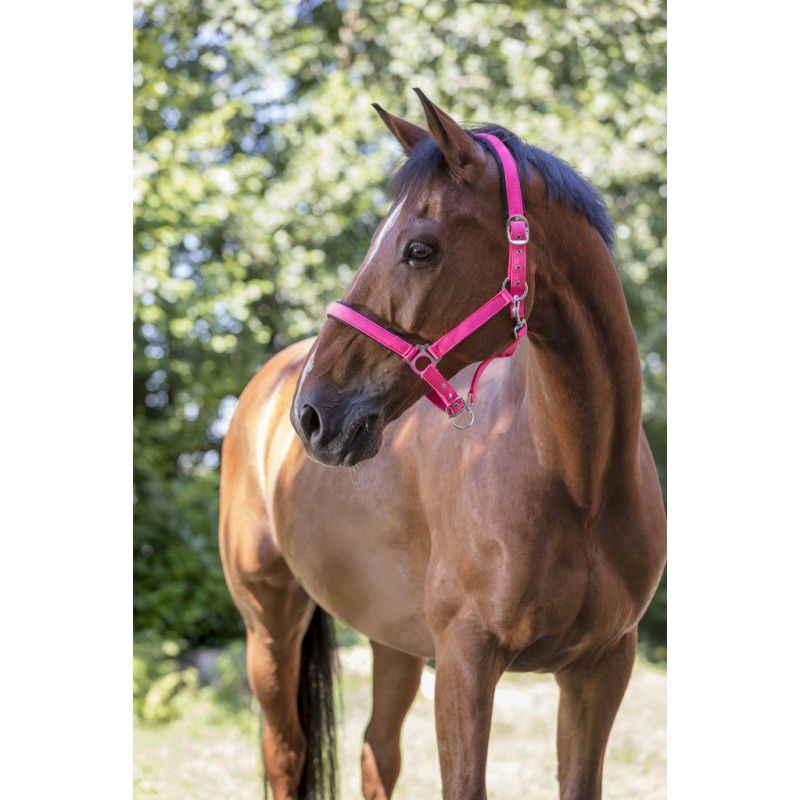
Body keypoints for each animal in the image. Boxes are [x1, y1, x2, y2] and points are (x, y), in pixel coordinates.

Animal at [219, 88, 666, 800]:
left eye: (419, 249)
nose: (313, 415)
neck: (580, 479)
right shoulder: (464, 662)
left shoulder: (601, 668)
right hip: (269, 627)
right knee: (286, 754)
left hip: (393, 638)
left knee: (376, 754)